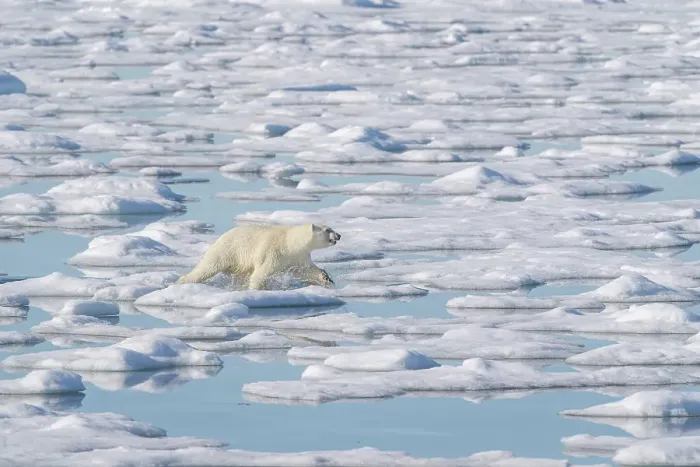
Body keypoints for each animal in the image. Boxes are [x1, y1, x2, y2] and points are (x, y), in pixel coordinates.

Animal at [176, 223, 341, 290]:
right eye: (328, 230)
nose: (339, 235)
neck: (289, 243)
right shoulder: (273, 252)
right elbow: (260, 273)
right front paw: (259, 289)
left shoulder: (297, 257)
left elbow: (306, 270)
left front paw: (326, 278)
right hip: (226, 251)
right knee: (207, 268)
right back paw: (183, 281)